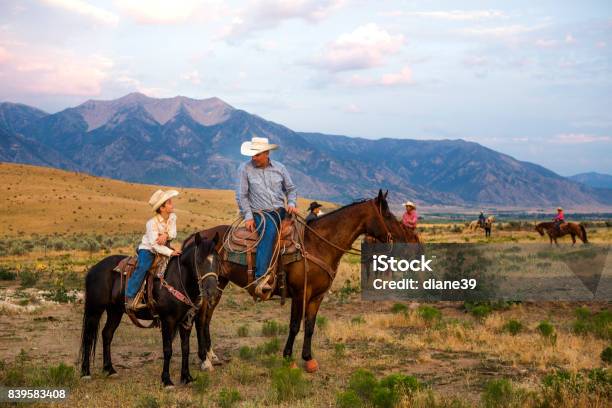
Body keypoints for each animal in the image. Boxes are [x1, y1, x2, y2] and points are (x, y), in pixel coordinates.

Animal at [77, 233, 219, 386]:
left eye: (217, 260)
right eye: (199, 261)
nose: (212, 292)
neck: (179, 279)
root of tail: (94, 268)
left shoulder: (187, 321)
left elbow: (185, 349)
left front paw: (186, 378)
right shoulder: (167, 320)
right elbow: (167, 349)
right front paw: (166, 380)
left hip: (115, 311)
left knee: (107, 334)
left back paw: (109, 370)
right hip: (95, 310)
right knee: (88, 337)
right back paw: (85, 373)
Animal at [185, 190, 420, 372]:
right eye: (387, 214)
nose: (406, 239)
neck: (317, 244)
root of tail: (196, 237)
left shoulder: (317, 296)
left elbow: (310, 326)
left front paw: (308, 359)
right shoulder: (300, 293)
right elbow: (295, 325)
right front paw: (288, 358)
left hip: (218, 285)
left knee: (206, 318)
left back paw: (211, 355)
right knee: (200, 318)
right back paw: (205, 361)